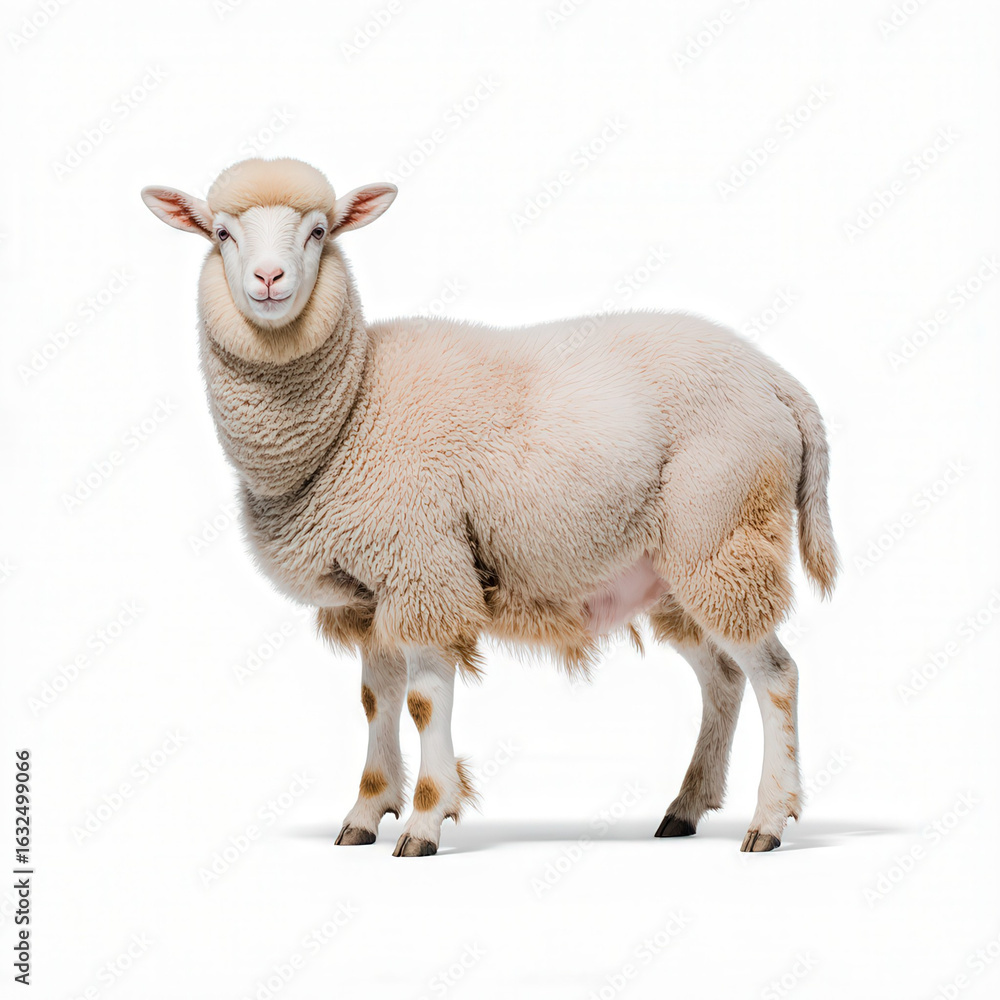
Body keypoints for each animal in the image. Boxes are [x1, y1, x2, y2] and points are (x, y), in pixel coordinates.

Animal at [141, 157, 838, 856]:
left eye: (318, 231)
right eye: (221, 234)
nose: (268, 279)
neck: (353, 404)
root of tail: (778, 381)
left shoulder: (423, 563)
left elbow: (423, 701)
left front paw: (424, 821)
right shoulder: (369, 593)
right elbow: (375, 699)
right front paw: (366, 813)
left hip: (722, 529)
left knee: (776, 674)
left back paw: (768, 820)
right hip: (672, 568)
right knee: (722, 677)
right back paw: (686, 808)